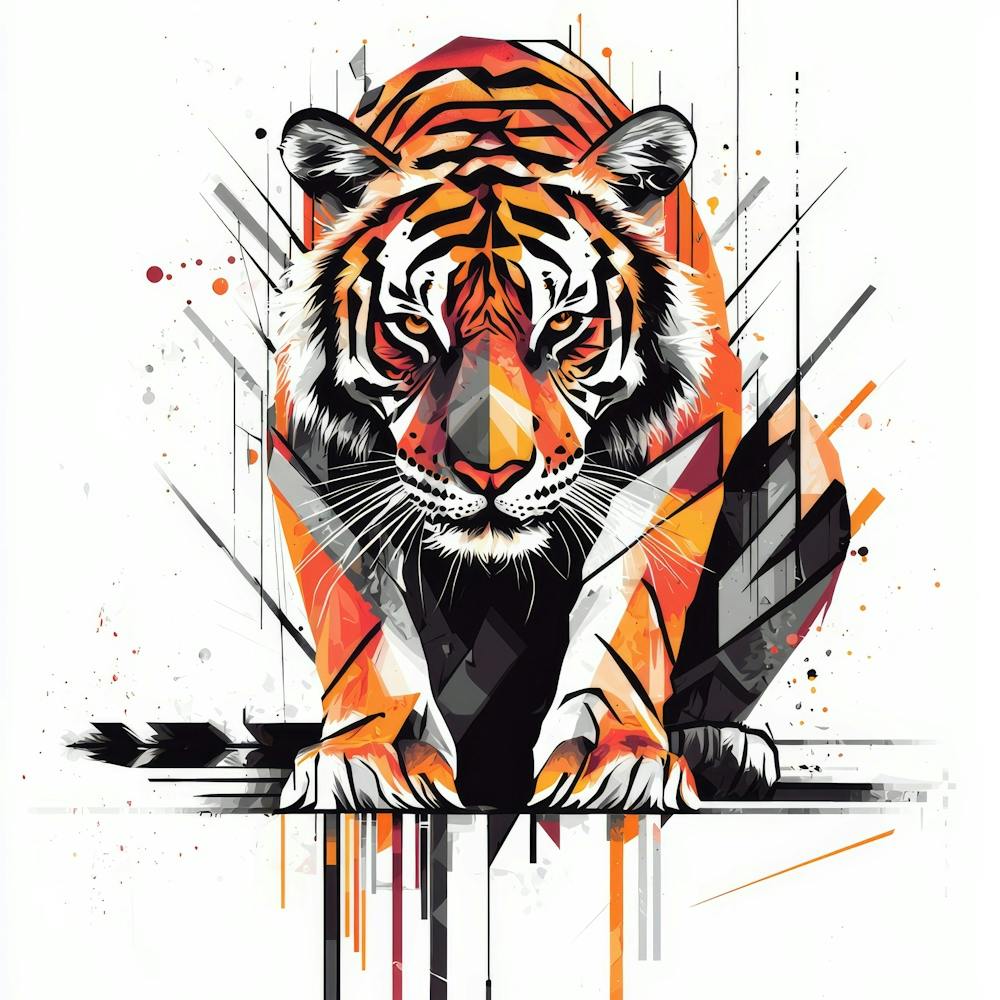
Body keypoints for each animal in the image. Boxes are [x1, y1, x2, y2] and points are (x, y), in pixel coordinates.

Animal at [267, 36, 848, 812]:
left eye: (563, 325)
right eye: (415, 326)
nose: (491, 474)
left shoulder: (686, 444)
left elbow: (629, 614)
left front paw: (621, 758)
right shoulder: (309, 451)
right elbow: (363, 622)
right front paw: (363, 758)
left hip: (807, 448)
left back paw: (720, 747)